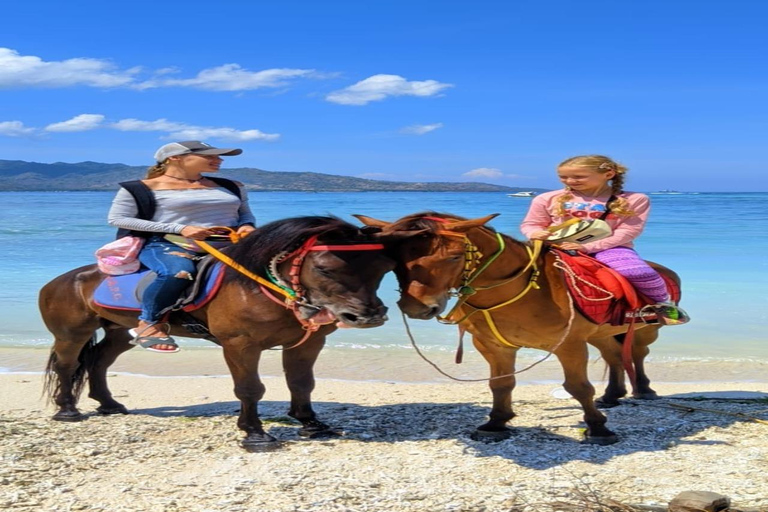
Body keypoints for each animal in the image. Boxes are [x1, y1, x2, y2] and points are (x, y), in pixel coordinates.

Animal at [39, 217, 392, 452]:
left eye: (381, 268)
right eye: (324, 268)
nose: (368, 316)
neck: (258, 287)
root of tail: (58, 281)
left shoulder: (308, 342)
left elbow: (302, 383)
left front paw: (311, 424)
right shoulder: (240, 345)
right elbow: (250, 389)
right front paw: (254, 434)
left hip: (119, 333)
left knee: (98, 362)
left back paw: (109, 404)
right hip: (72, 334)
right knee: (67, 366)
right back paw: (67, 411)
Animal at [356, 212, 680, 444]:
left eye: (454, 257)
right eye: (394, 259)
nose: (418, 308)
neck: (522, 291)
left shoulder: (570, 345)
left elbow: (578, 387)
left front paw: (598, 429)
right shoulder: (493, 346)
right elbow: (500, 384)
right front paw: (496, 423)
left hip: (644, 330)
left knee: (636, 354)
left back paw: (644, 390)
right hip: (601, 332)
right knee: (614, 354)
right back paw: (613, 395)